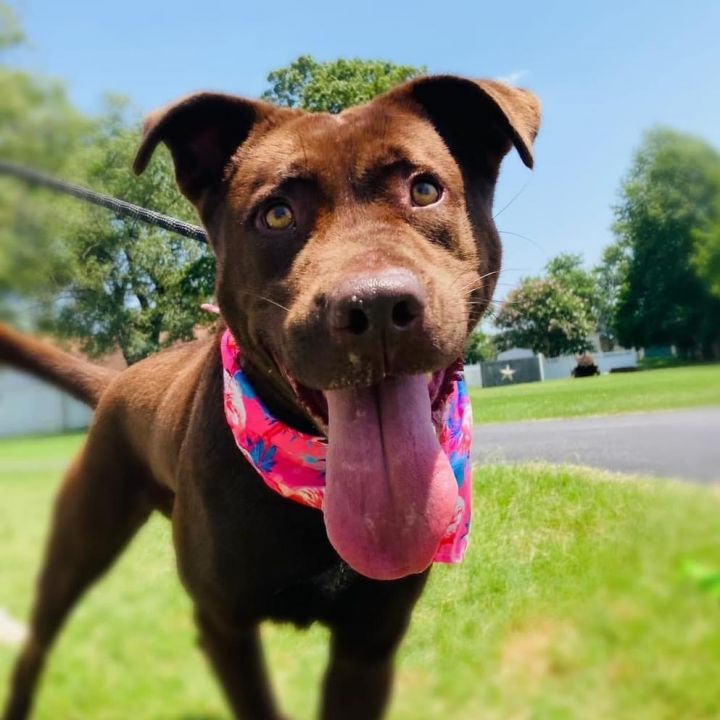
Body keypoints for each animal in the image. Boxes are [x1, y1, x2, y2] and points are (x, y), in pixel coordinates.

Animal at [1, 74, 540, 720]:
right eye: (277, 213)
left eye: (426, 189)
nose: (377, 306)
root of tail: (118, 381)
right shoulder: (224, 625)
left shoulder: (369, 642)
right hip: (83, 532)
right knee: (39, 636)